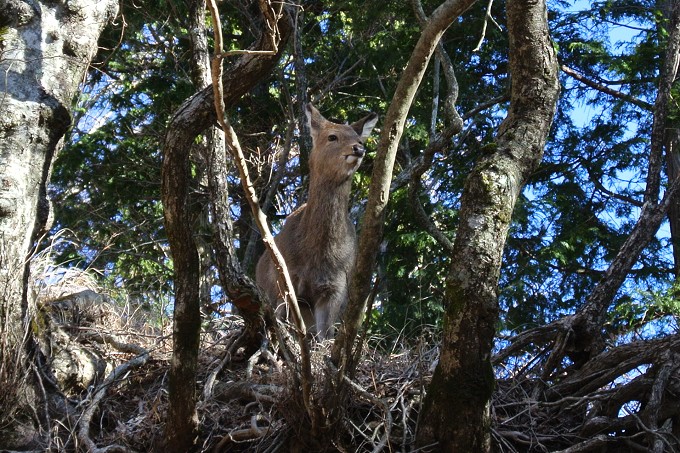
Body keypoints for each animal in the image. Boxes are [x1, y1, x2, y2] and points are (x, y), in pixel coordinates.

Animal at [258, 102, 380, 340]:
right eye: (332, 136)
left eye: (360, 140)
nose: (358, 149)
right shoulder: (284, 279)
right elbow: (280, 323)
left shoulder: (336, 288)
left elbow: (326, 336)